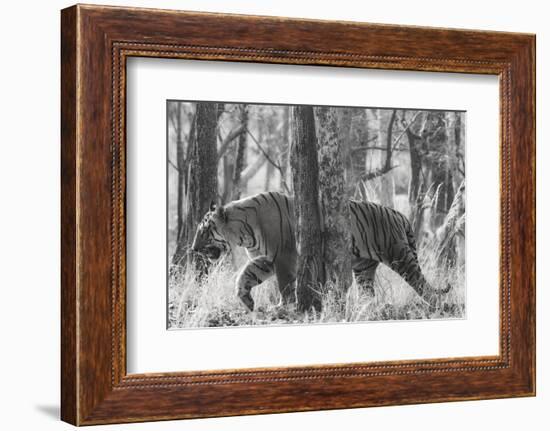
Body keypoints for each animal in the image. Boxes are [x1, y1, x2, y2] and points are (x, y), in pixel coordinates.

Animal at [192, 192, 450, 310]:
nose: (193, 249)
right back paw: (365, 308)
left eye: (204, 231)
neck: (243, 233)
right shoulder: (265, 260)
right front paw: (245, 300)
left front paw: (284, 307)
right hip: (364, 268)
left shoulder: (282, 258)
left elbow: (285, 285)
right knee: (369, 292)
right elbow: (244, 275)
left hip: (399, 256)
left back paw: (436, 305)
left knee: (420, 282)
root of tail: (399, 214)